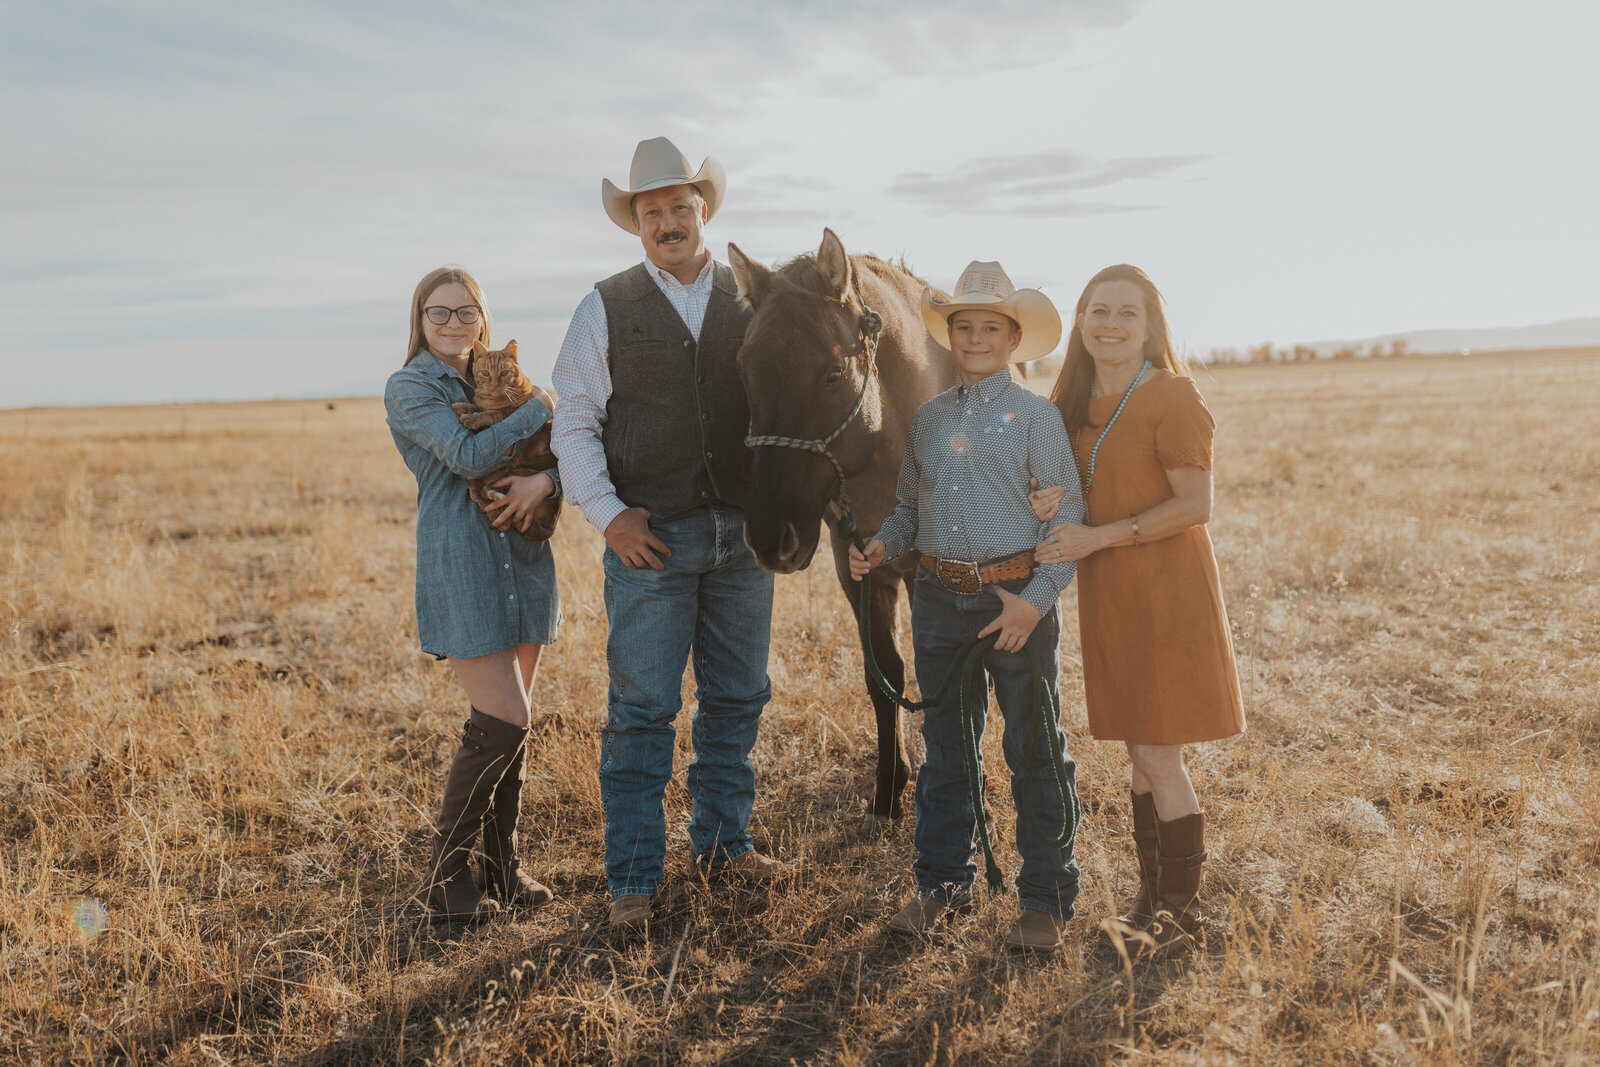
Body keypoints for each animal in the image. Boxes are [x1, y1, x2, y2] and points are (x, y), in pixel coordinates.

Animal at [454, 337, 566, 543]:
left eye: (504, 373)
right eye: (485, 373)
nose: (494, 385)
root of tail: (546, 531)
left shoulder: (509, 414)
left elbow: (491, 414)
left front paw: (472, 418)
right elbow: (478, 405)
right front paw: (463, 406)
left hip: (518, 471)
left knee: (496, 509)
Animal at [729, 227, 960, 825]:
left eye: (832, 374)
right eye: (744, 375)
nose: (770, 539)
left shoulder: (933, 570)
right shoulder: (854, 565)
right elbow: (884, 676)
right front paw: (889, 788)